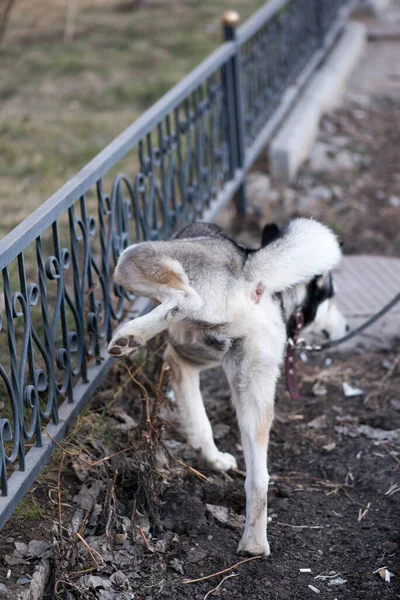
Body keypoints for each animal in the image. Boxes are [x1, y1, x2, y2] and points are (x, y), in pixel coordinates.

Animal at [106, 218, 346, 556]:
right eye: (331, 297)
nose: (347, 326)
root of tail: (249, 268)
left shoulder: (178, 360)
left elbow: (197, 420)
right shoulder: (191, 363)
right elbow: (200, 422)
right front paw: (215, 460)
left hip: (133, 258)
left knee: (186, 298)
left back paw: (130, 337)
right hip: (254, 394)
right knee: (259, 479)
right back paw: (254, 545)